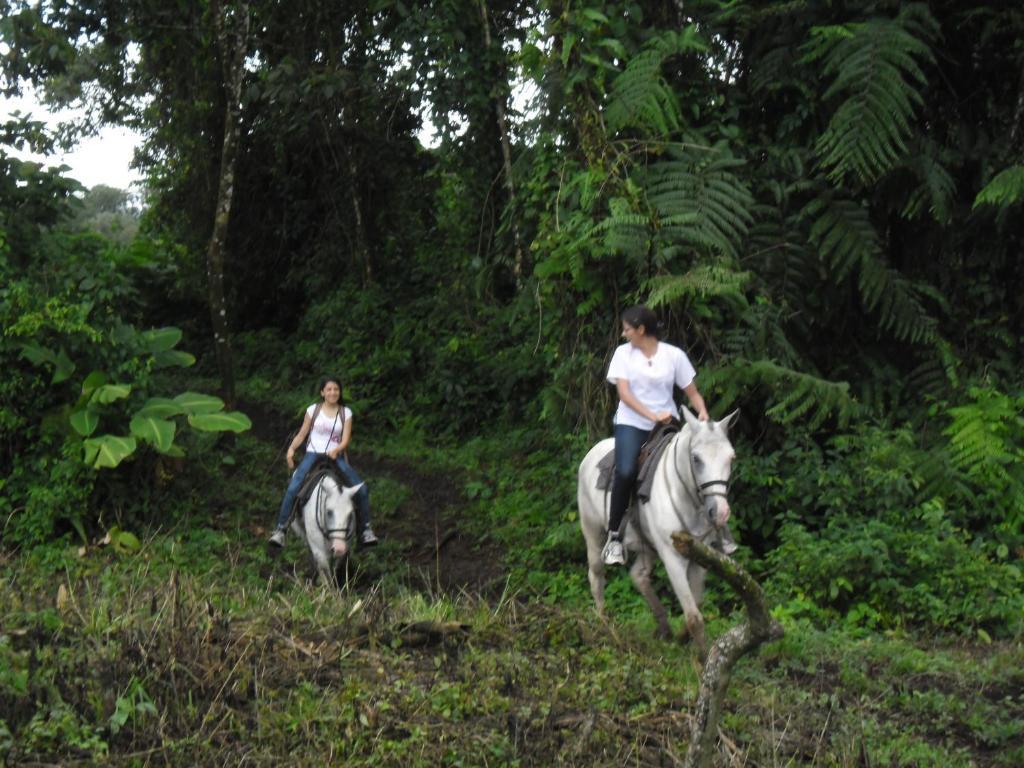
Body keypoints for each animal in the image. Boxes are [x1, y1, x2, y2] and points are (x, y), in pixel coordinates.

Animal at [577, 405, 737, 651]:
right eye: (696, 458)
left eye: (731, 457)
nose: (720, 512)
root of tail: (591, 453)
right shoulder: (672, 558)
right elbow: (694, 617)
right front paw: (702, 657)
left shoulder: (699, 558)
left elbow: (697, 603)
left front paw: (682, 637)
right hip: (593, 534)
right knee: (596, 577)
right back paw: (606, 628)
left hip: (647, 547)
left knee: (638, 576)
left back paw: (664, 628)